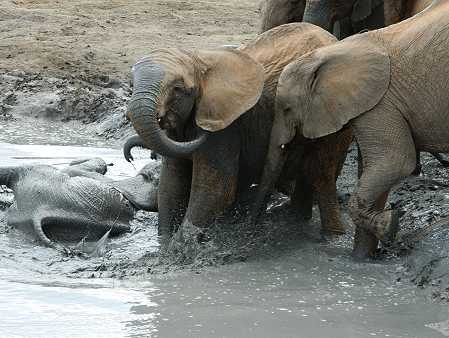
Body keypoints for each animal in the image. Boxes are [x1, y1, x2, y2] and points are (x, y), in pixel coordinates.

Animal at [126, 23, 350, 240]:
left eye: (178, 89)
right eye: (132, 84)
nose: (130, 158)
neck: (199, 61)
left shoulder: (226, 128)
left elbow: (215, 191)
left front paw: (181, 246)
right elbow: (171, 185)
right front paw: (164, 245)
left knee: (322, 170)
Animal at [264, 0, 448, 258]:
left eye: (287, 109)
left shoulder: (381, 104)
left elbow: (395, 162)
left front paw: (389, 227)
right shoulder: (373, 104)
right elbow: (374, 167)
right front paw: (365, 256)